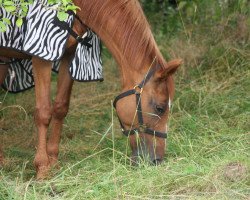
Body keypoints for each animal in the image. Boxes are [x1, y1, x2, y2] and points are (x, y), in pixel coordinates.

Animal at [0, 0, 181, 178]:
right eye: (160, 108)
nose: (157, 161)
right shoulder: (42, 55)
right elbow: (44, 113)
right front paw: (43, 168)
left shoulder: (69, 53)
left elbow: (60, 108)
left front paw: (54, 163)